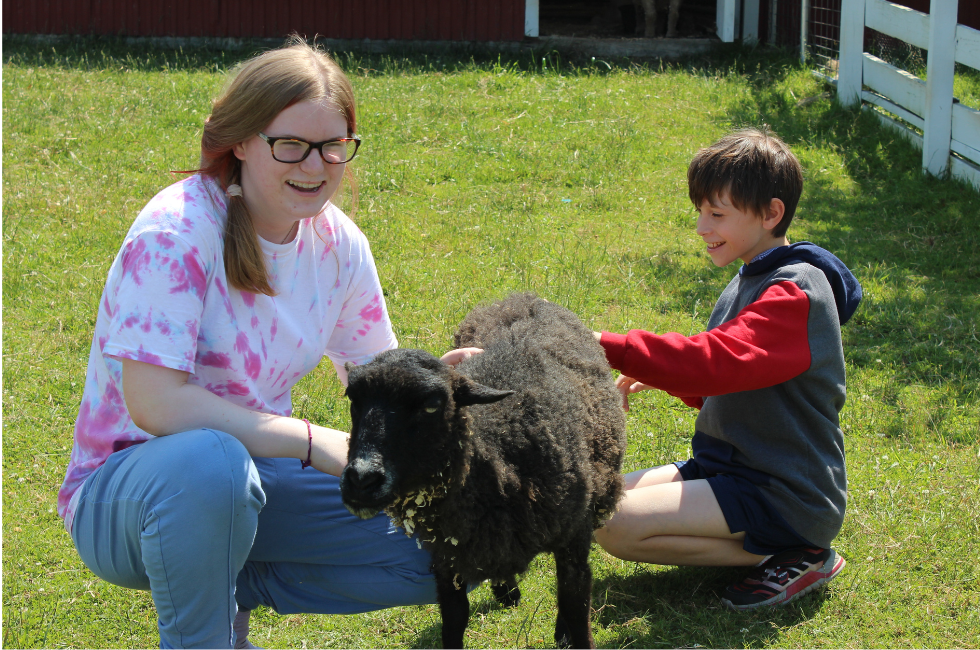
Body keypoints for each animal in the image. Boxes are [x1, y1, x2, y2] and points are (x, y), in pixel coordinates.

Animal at [340, 294, 624, 648]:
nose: (361, 480)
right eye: (354, 399)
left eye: (432, 404)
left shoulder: (575, 536)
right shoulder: (448, 558)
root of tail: (523, 296)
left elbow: (575, 603)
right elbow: (454, 618)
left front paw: (570, 635)